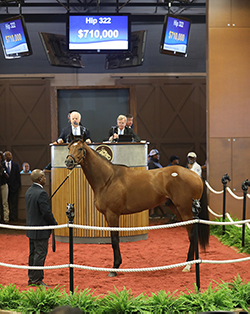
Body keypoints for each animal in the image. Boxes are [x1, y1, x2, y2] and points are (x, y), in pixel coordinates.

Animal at [64, 139, 209, 276]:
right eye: (68, 147)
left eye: (80, 148)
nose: (68, 162)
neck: (108, 179)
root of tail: (196, 175)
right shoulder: (107, 216)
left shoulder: (113, 214)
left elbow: (115, 240)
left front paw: (114, 268)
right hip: (177, 209)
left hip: (185, 210)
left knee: (192, 235)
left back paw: (188, 266)